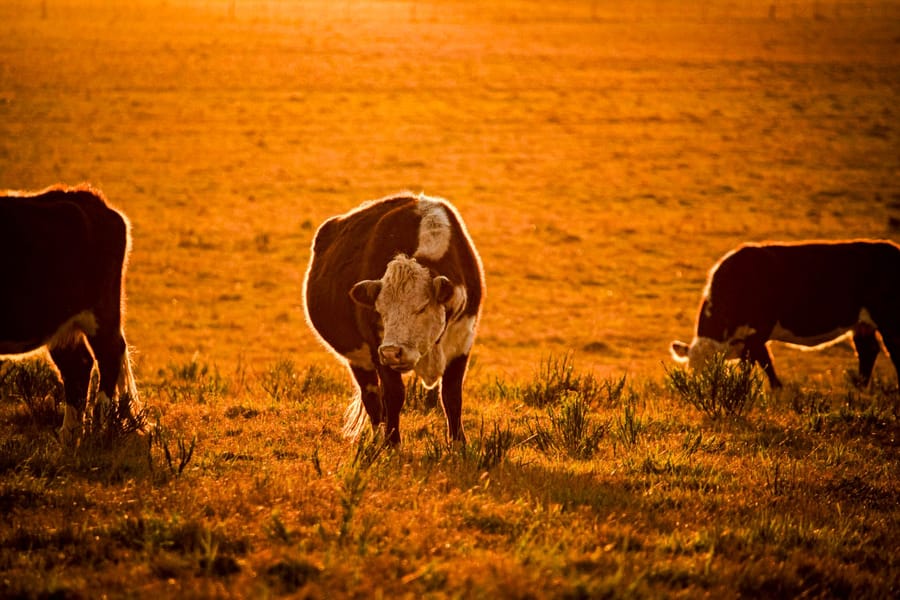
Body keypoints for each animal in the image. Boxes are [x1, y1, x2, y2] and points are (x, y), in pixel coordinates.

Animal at [1, 184, 140, 444]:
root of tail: (86, 195)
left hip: (100, 314)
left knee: (108, 356)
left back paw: (98, 432)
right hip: (61, 323)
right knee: (78, 366)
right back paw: (69, 438)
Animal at [303, 192, 484, 446]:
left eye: (422, 307)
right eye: (380, 310)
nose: (392, 352)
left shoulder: (461, 343)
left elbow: (451, 395)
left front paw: (459, 443)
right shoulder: (377, 347)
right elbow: (394, 394)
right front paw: (392, 443)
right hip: (359, 360)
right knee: (372, 398)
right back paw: (377, 438)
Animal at [671, 240, 900, 388]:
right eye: (691, 370)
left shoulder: (758, 331)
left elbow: (757, 363)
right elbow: (765, 361)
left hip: (889, 319)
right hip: (862, 324)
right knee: (868, 350)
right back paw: (860, 388)